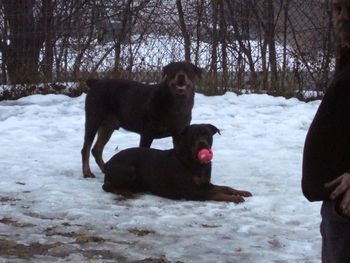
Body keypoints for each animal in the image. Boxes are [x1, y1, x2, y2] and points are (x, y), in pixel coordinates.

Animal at [101, 124, 252, 204]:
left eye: (207, 134)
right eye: (193, 136)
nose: (202, 143)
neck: (195, 162)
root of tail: (108, 163)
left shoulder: (205, 183)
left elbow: (224, 187)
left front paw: (241, 192)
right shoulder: (191, 190)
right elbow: (215, 193)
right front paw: (235, 198)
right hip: (129, 169)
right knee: (106, 185)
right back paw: (124, 191)